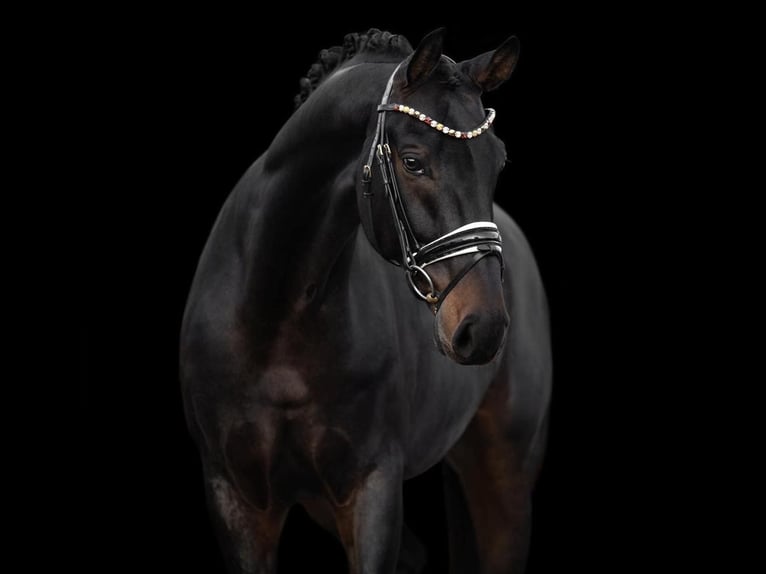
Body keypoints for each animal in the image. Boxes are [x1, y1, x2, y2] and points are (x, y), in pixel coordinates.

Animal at [180, 28, 551, 574]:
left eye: (498, 162)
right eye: (413, 161)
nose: (483, 328)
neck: (276, 317)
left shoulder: (370, 487)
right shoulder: (237, 498)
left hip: (504, 475)